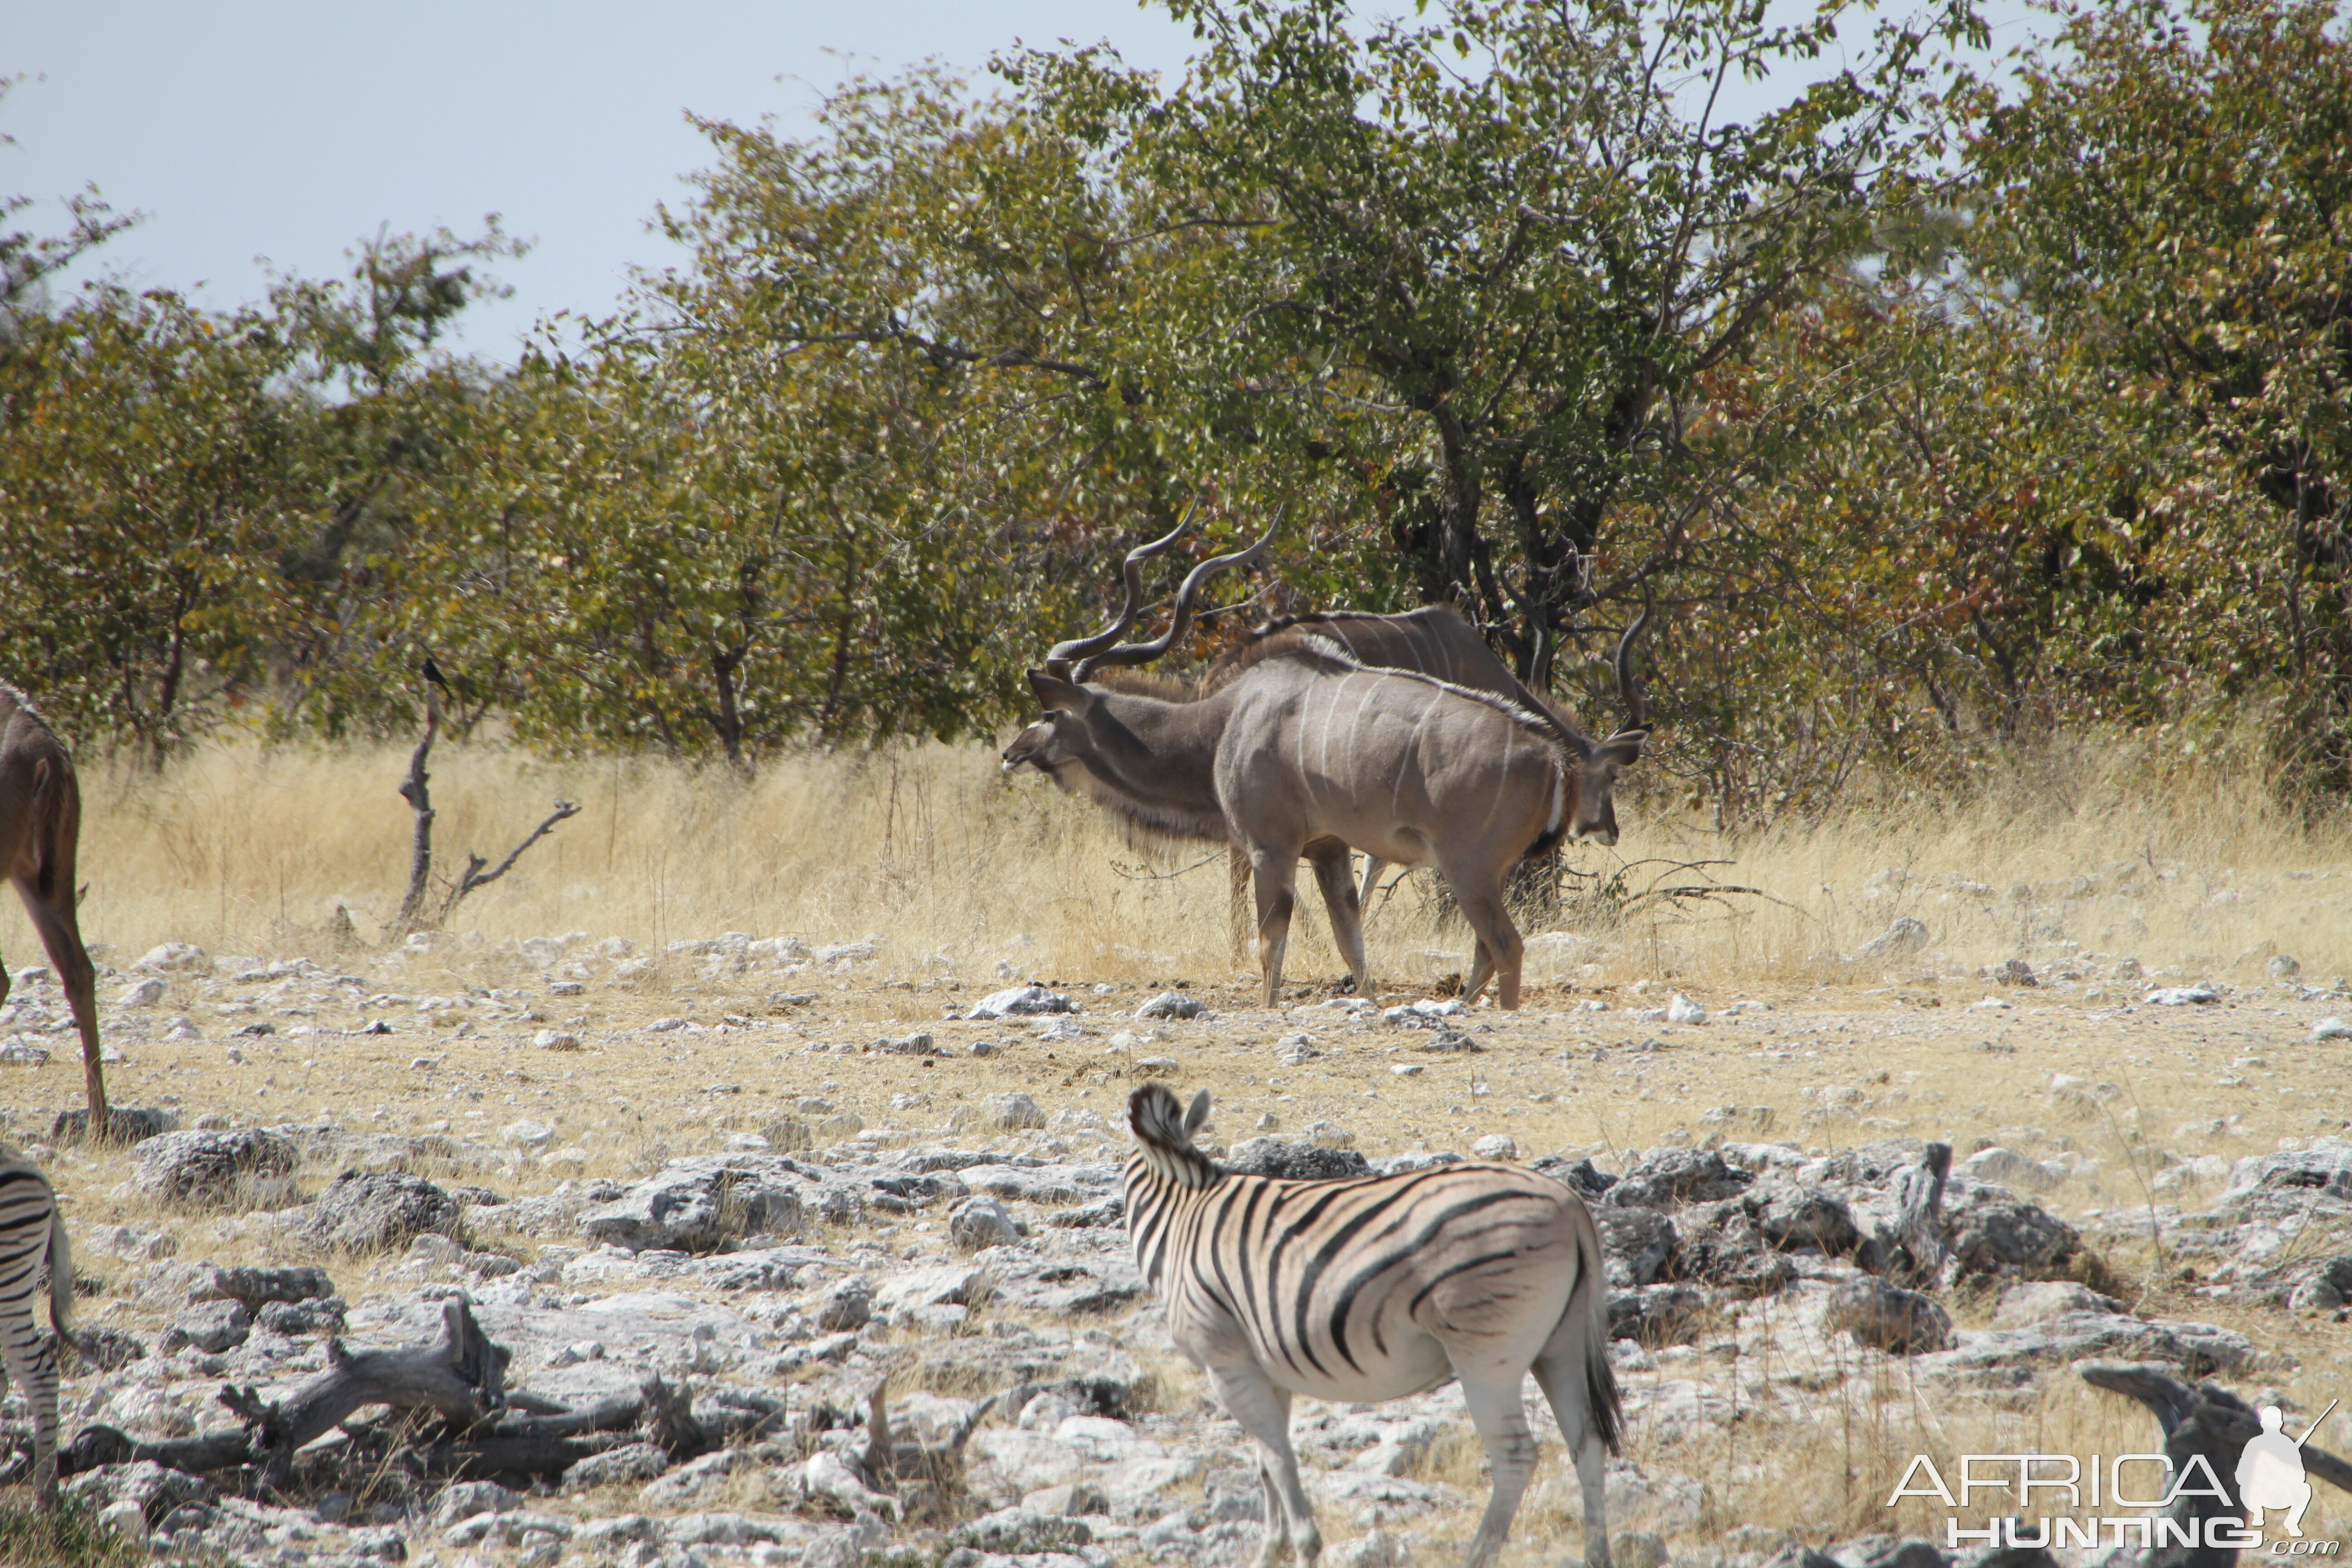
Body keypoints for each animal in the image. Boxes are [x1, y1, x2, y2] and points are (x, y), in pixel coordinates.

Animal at [1002, 522, 1646, 1011]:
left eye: (1049, 714)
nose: (1012, 753)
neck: (1224, 720)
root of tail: (1552, 759)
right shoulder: (1329, 850)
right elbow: (1351, 943)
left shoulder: (1273, 845)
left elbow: (1271, 946)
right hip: (1488, 872)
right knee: (1487, 951)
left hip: (1468, 868)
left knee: (1507, 947)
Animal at [1119, 1086, 1618, 1568]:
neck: (1181, 1215)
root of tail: (1570, 1203)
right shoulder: (1262, 1372)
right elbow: (1265, 1462)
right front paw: (1269, 1552)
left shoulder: (1227, 1365)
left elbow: (1279, 1461)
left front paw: (1305, 1549)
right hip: (1561, 1347)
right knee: (1588, 1443)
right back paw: (1596, 1556)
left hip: (1487, 1357)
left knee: (1516, 1456)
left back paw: (1478, 1555)